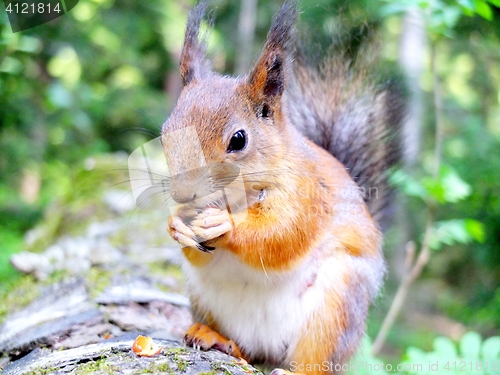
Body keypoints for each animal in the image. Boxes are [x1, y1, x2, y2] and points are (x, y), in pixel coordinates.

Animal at [162, 1, 404, 374]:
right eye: (166, 131)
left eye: (238, 140)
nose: (184, 194)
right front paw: (176, 223)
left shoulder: (307, 191)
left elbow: (282, 235)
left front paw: (225, 225)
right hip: (203, 297)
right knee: (245, 349)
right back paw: (215, 337)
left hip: (336, 305)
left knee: (315, 359)